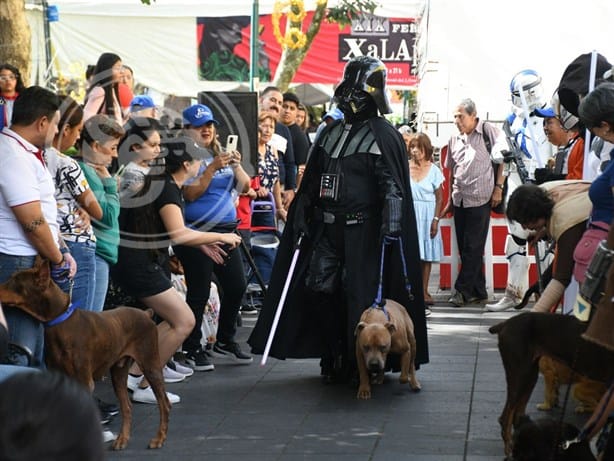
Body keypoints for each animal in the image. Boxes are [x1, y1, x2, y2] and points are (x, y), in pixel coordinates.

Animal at [0, 256, 171, 448]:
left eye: (14, 281)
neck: (59, 321)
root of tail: (146, 314)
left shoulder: (84, 380)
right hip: (118, 371)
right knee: (127, 406)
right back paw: (122, 440)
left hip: (150, 363)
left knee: (164, 403)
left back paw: (159, 438)